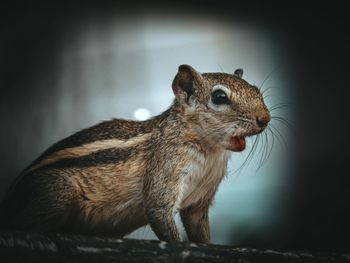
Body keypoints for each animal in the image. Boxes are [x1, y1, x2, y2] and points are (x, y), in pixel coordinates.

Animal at [0, 65, 270, 244]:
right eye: (220, 97)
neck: (210, 150)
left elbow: (199, 231)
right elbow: (160, 212)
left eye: (257, 90)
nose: (265, 119)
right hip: (56, 192)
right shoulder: (165, 167)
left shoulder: (200, 202)